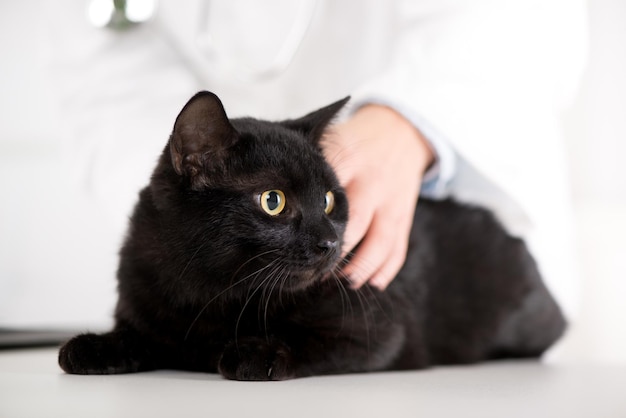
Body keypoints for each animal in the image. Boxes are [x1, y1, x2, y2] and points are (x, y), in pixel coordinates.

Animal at [58, 93, 564, 380]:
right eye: (273, 201)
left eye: (328, 200)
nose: (330, 244)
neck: (212, 292)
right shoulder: (149, 307)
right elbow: (140, 336)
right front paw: (95, 346)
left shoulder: (376, 331)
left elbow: (308, 341)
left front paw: (255, 353)